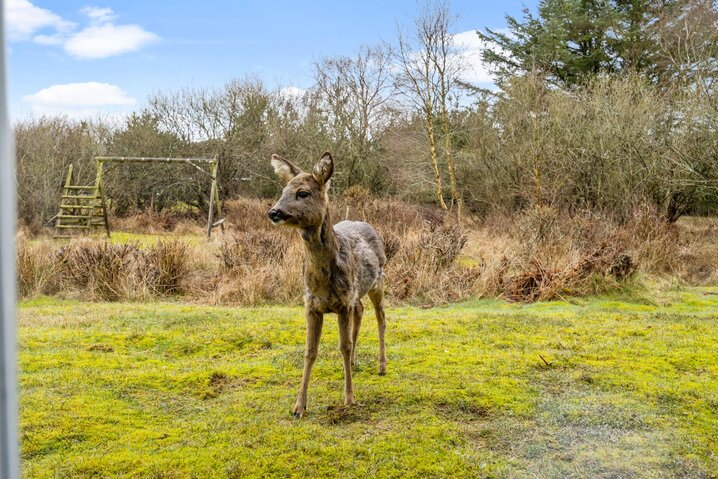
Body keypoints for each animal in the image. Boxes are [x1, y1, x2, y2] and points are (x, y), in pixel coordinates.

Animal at [268, 152, 388, 418]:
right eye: (283, 190)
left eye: (302, 193)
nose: (273, 212)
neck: (323, 281)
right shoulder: (311, 304)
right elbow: (310, 351)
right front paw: (298, 407)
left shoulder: (342, 303)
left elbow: (343, 346)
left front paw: (350, 399)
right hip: (356, 293)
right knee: (361, 310)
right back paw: (353, 363)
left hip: (378, 281)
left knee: (381, 318)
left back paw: (382, 366)